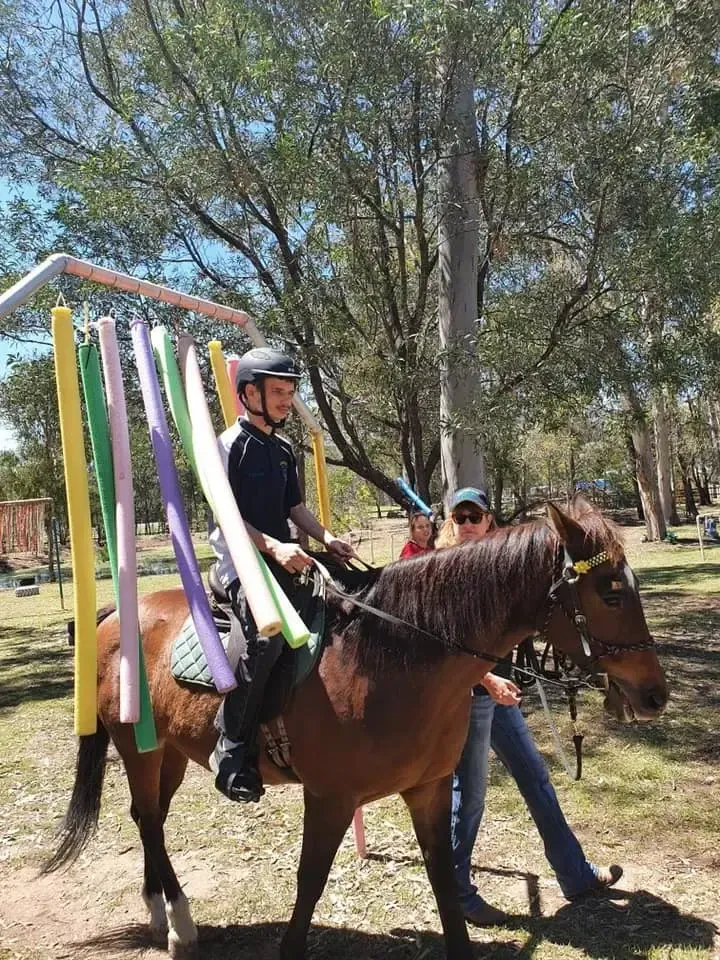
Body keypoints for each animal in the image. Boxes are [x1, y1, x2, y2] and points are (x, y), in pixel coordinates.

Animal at [43, 501, 668, 960]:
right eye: (611, 593)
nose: (655, 695)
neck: (389, 656)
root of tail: (116, 616)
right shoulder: (331, 798)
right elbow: (309, 882)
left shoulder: (428, 790)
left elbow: (444, 879)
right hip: (138, 748)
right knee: (149, 819)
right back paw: (177, 923)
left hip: (168, 751)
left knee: (147, 817)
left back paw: (158, 911)